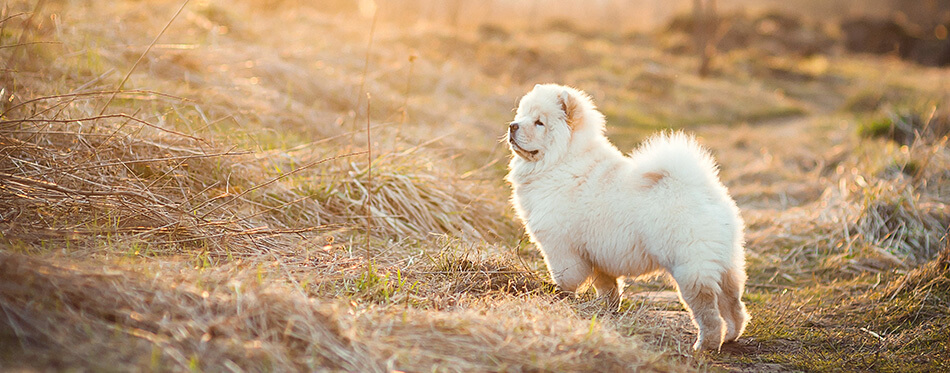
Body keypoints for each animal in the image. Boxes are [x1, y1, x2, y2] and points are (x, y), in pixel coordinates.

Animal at [506, 83, 752, 350]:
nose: (512, 125)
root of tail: (705, 191)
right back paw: (731, 336)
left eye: (539, 122)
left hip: (690, 267)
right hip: (726, 263)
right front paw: (605, 311)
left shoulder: (562, 249)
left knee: (708, 310)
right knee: (734, 304)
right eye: (521, 115)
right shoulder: (597, 254)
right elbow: (607, 287)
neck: (561, 162)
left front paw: (561, 299)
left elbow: (566, 280)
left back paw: (705, 345)